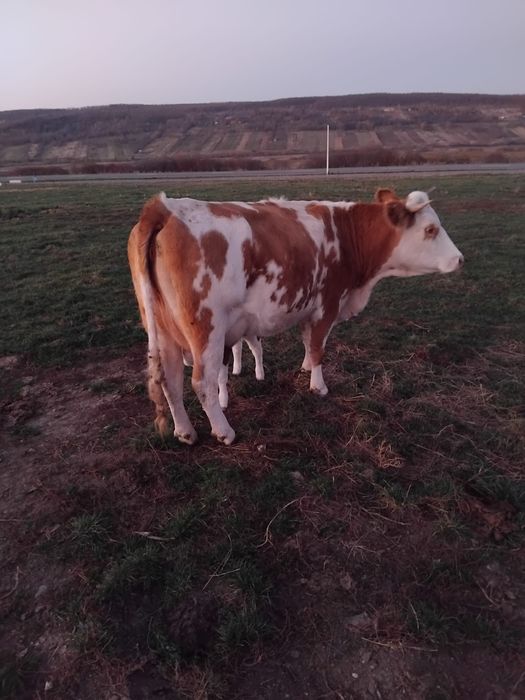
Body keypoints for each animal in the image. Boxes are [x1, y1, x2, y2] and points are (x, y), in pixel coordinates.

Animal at [128, 188, 463, 446]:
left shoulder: (310, 309)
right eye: (430, 230)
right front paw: (318, 386)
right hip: (206, 329)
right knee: (202, 383)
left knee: (170, 381)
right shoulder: (328, 304)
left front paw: (304, 369)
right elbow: (318, 348)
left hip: (164, 331)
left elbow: (306, 343)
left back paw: (185, 432)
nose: (460, 259)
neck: (346, 234)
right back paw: (224, 432)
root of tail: (164, 208)